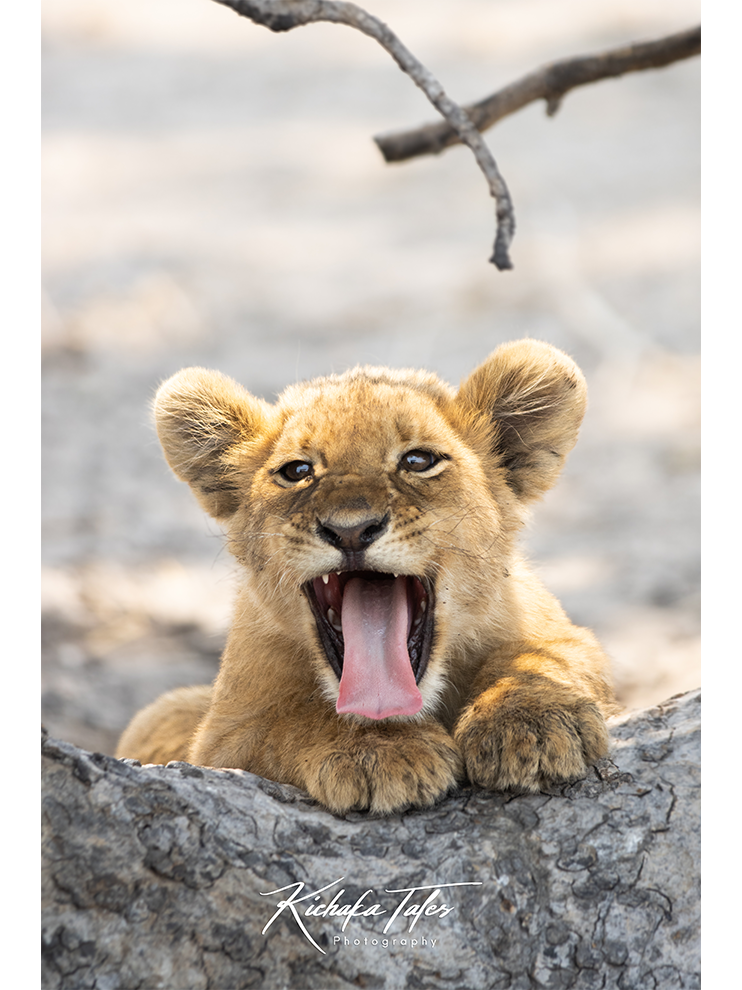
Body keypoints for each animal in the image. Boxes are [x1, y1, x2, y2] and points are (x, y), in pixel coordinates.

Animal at [116, 339, 618, 813]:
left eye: (418, 461)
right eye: (297, 471)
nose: (350, 529)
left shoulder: (562, 634)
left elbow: (542, 656)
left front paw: (532, 722)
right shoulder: (223, 736)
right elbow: (291, 720)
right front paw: (379, 752)